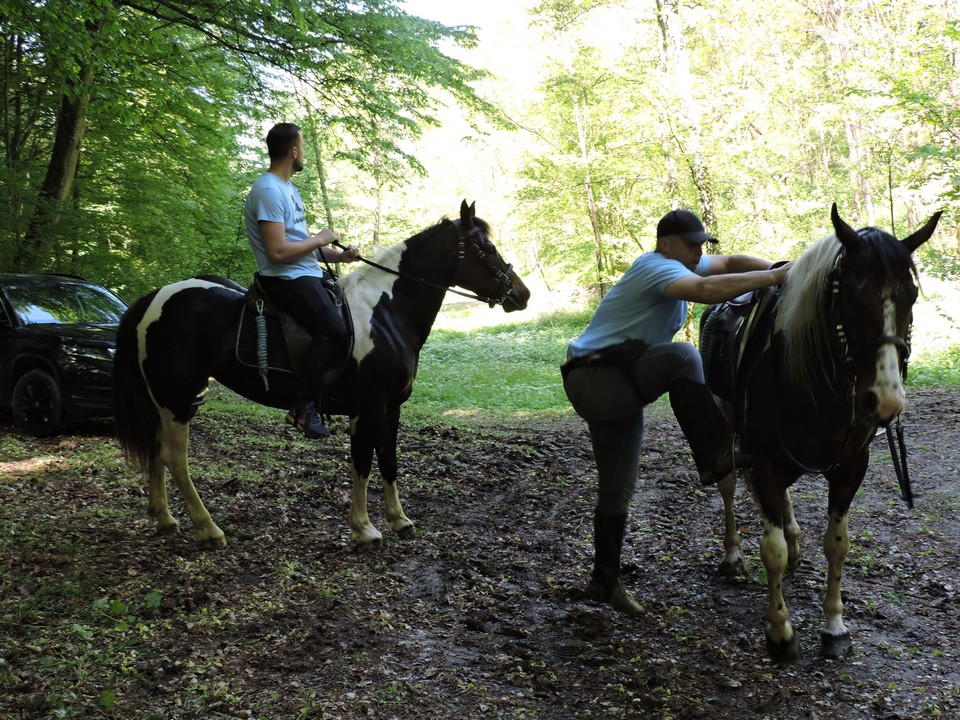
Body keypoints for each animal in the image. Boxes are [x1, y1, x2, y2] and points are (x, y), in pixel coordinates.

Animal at [113, 200, 530, 549]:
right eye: (485, 249)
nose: (522, 294)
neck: (386, 313)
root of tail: (153, 299)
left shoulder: (391, 409)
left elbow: (389, 461)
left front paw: (399, 520)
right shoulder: (368, 407)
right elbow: (362, 461)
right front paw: (364, 528)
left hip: (165, 400)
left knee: (156, 452)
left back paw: (165, 519)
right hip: (177, 398)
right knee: (175, 458)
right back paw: (208, 528)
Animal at [699, 203, 941, 662]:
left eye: (911, 294)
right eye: (849, 294)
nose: (885, 401)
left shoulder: (850, 467)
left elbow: (837, 544)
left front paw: (834, 627)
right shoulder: (766, 461)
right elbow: (771, 550)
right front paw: (780, 632)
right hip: (725, 434)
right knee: (729, 486)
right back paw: (733, 553)